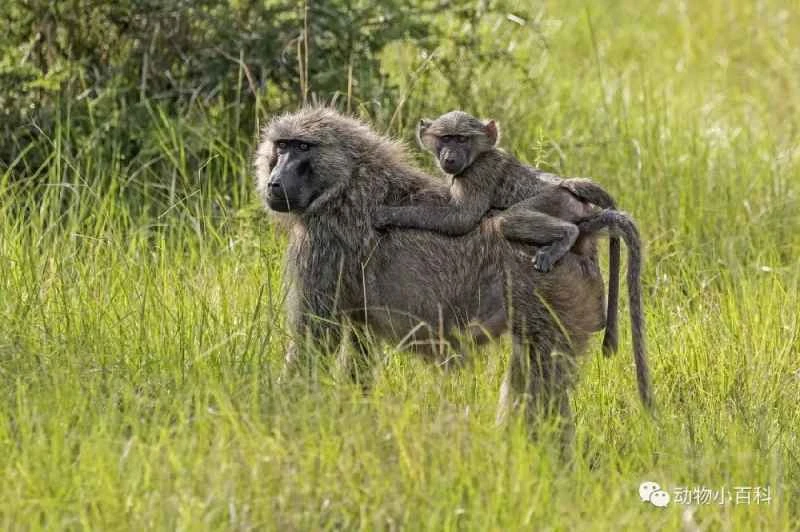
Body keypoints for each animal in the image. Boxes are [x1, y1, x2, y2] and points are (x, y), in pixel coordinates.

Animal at [373, 110, 623, 357]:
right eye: (446, 138)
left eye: (461, 139)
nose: (450, 158)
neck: (478, 156)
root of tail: (568, 188)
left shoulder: (477, 175)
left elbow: (460, 220)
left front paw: (387, 213)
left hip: (554, 201)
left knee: (508, 221)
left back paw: (564, 237)